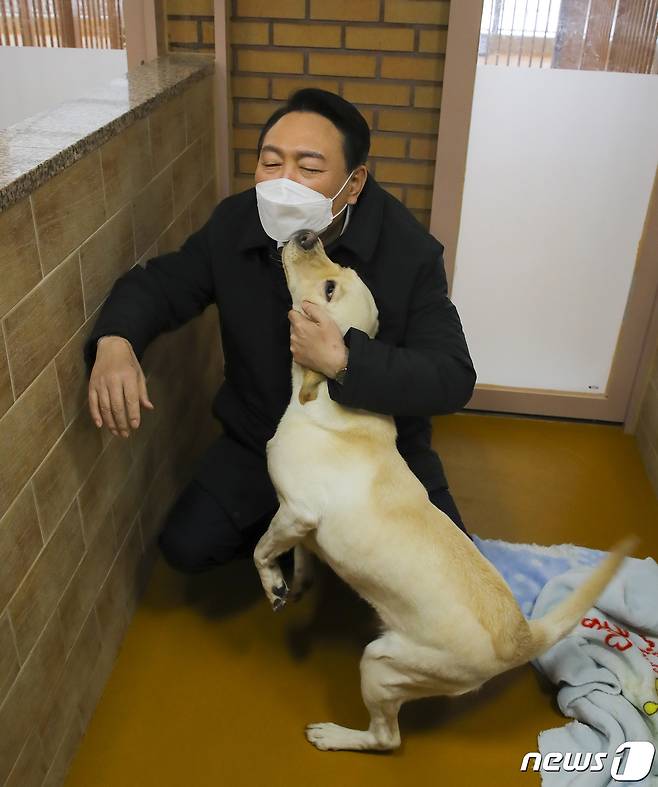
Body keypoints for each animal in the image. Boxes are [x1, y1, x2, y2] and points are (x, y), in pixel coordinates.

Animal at [251, 229, 632, 756]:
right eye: (338, 268)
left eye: (330, 288)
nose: (307, 235)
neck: (323, 395)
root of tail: (520, 637)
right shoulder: (300, 521)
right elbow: (301, 553)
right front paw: (297, 583)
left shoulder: (296, 511)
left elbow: (261, 549)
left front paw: (272, 583)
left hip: (382, 664)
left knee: (387, 739)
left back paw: (336, 735)